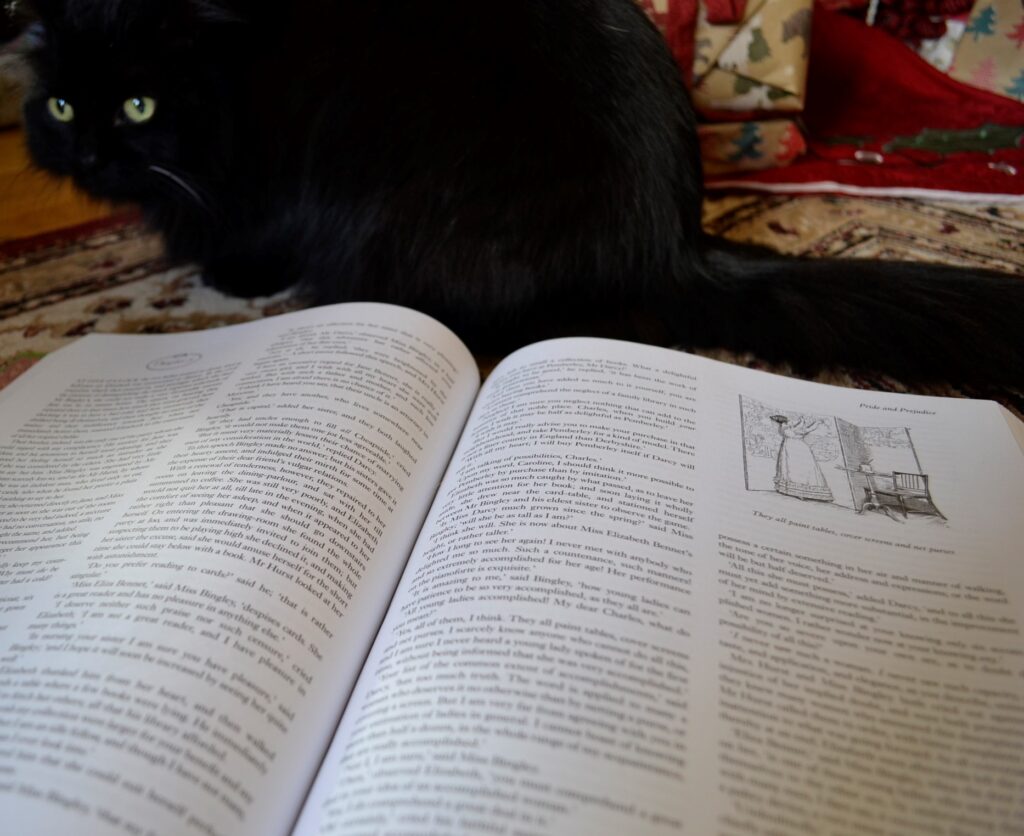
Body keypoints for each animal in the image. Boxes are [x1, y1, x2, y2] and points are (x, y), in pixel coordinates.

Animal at [16, 1, 1024, 381]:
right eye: (63, 103)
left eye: (139, 104)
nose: (93, 154)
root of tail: (672, 243)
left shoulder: (252, 188)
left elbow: (241, 236)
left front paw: (230, 280)